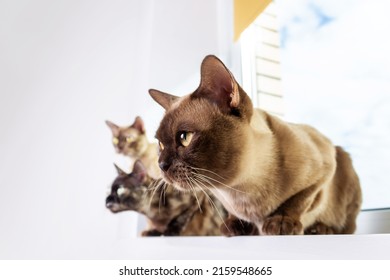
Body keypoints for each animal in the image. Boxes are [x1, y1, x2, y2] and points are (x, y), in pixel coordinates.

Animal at [149, 54, 362, 236]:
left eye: (184, 137)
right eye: (160, 144)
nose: (161, 165)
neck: (238, 190)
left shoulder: (323, 168)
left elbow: (298, 202)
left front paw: (280, 223)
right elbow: (233, 215)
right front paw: (235, 227)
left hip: (344, 165)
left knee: (347, 227)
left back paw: (320, 229)